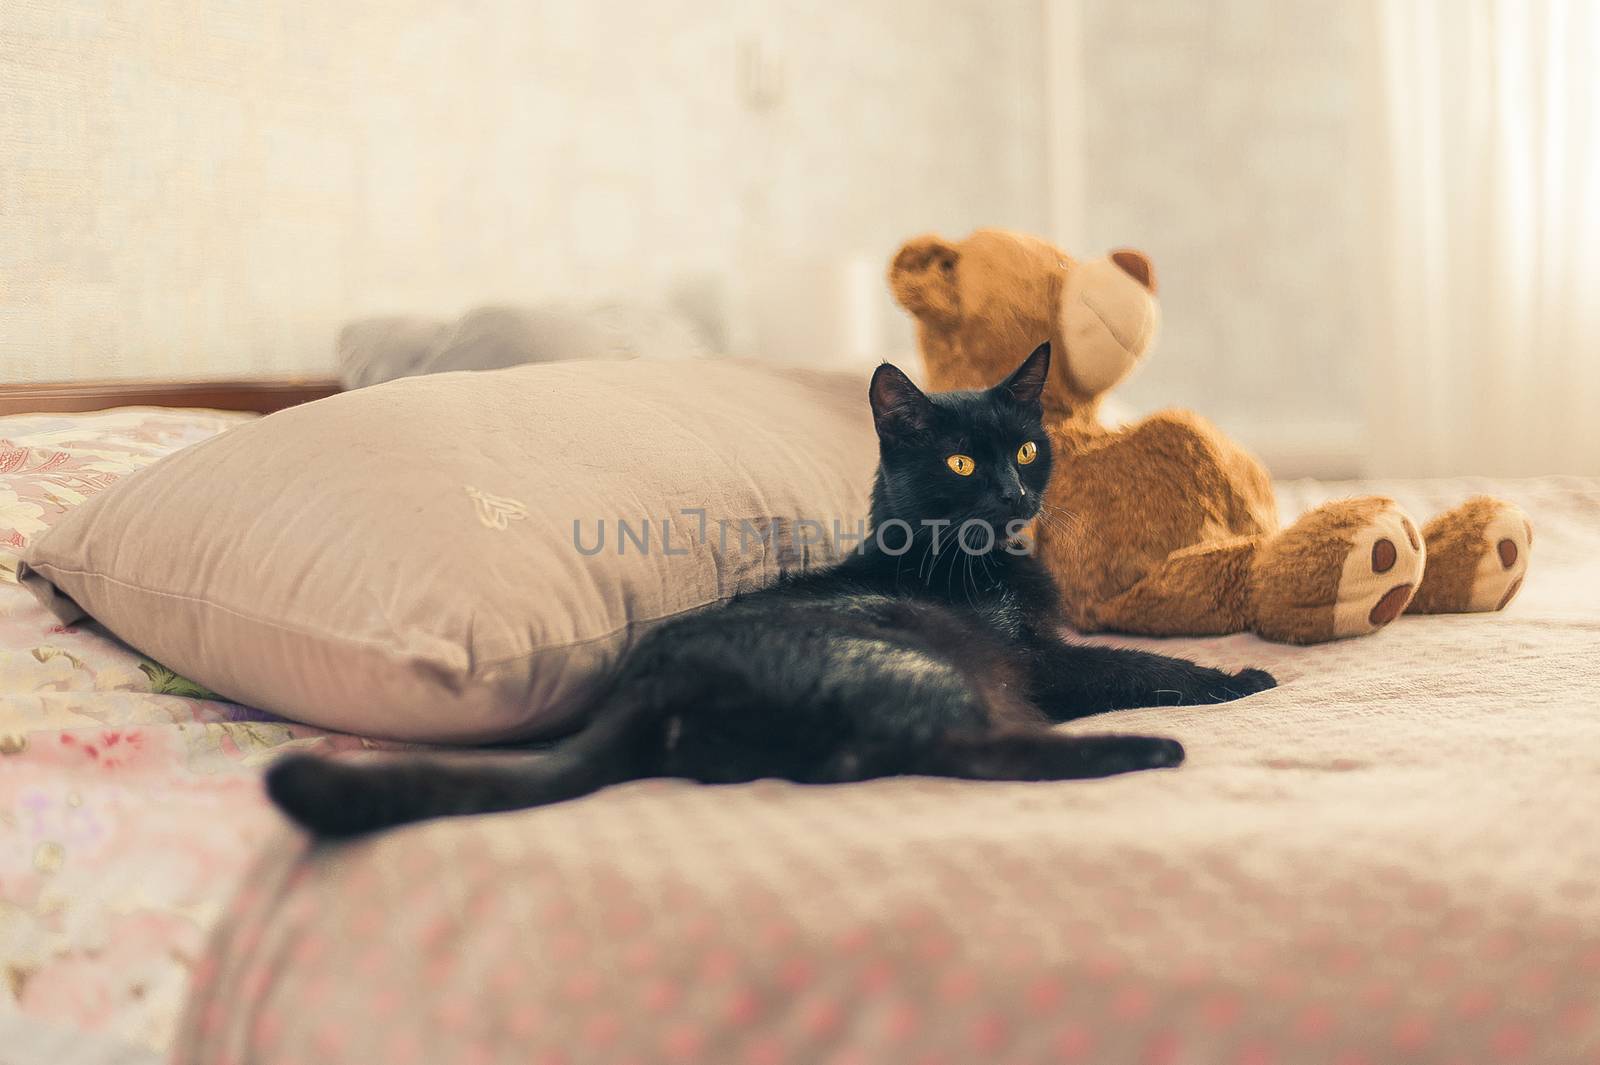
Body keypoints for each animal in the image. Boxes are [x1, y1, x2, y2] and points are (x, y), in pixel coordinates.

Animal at [272, 343, 1273, 831]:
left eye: (1027, 449)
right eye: (961, 461)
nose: (1013, 493)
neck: (977, 558)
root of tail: (647, 692)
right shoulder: (1037, 657)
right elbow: (1127, 661)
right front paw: (1240, 678)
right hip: (925, 663)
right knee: (957, 750)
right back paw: (1147, 751)